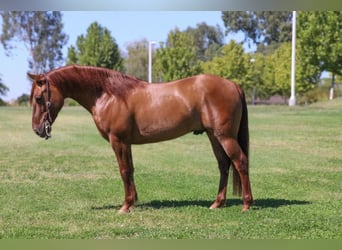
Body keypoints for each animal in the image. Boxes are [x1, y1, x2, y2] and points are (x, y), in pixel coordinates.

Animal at [29, 64, 252, 213]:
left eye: (39, 98)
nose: (38, 130)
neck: (109, 95)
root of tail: (234, 85)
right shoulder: (126, 143)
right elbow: (131, 170)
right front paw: (133, 201)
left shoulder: (118, 141)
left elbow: (124, 171)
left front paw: (126, 206)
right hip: (214, 136)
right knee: (224, 165)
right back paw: (217, 203)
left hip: (225, 136)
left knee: (240, 161)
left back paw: (247, 204)